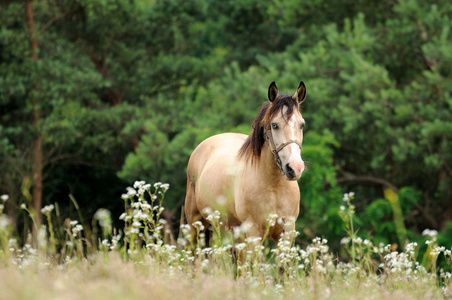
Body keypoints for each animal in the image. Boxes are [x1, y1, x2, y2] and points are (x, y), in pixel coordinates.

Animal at [185, 80, 308, 246]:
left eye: (302, 125)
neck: (274, 187)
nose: (295, 168)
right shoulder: (253, 233)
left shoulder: (286, 233)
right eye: (274, 125)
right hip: (196, 226)